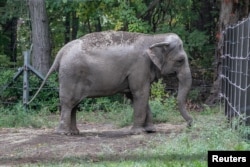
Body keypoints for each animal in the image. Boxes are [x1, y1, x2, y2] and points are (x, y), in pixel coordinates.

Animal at [29, 30, 193, 135]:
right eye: (180, 60)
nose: (190, 124)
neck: (154, 38)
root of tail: (61, 52)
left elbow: (137, 95)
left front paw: (151, 130)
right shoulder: (139, 66)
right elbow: (140, 93)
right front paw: (138, 132)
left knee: (74, 104)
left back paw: (74, 133)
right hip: (70, 75)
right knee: (68, 103)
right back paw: (63, 134)